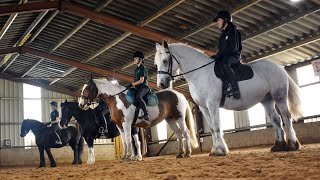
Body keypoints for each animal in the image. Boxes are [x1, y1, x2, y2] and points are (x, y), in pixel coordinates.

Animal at [155, 40, 302, 155]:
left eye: (165, 61)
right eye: (156, 64)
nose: (161, 84)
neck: (200, 73)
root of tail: (279, 67)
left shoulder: (212, 104)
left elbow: (216, 126)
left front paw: (220, 150)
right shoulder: (203, 107)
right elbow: (212, 128)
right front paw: (215, 150)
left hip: (279, 97)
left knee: (286, 117)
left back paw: (292, 145)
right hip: (267, 100)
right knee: (276, 119)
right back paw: (278, 146)